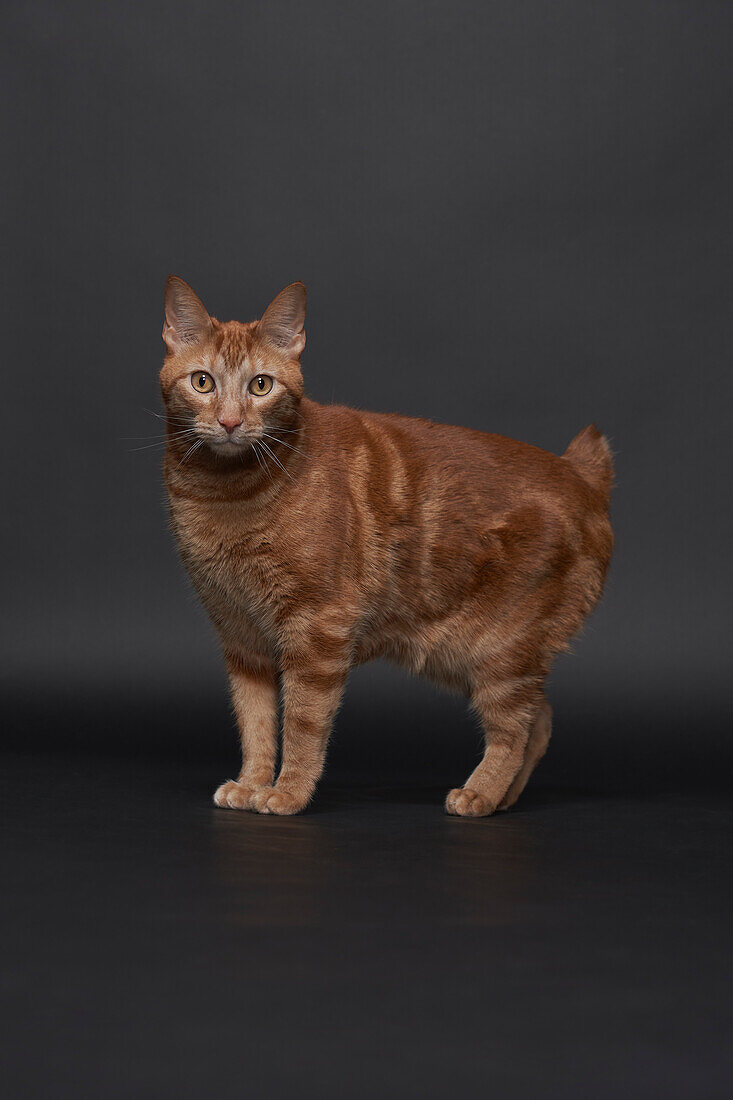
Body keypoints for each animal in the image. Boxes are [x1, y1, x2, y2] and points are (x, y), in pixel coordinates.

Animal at [161, 277, 611, 818]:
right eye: (203, 382)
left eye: (261, 386)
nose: (229, 422)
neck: (223, 498)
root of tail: (577, 472)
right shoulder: (241, 637)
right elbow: (256, 723)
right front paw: (250, 784)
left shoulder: (318, 630)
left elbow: (303, 725)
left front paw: (287, 793)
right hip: (463, 656)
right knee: (540, 720)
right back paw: (503, 800)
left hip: (500, 652)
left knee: (515, 729)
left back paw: (480, 795)